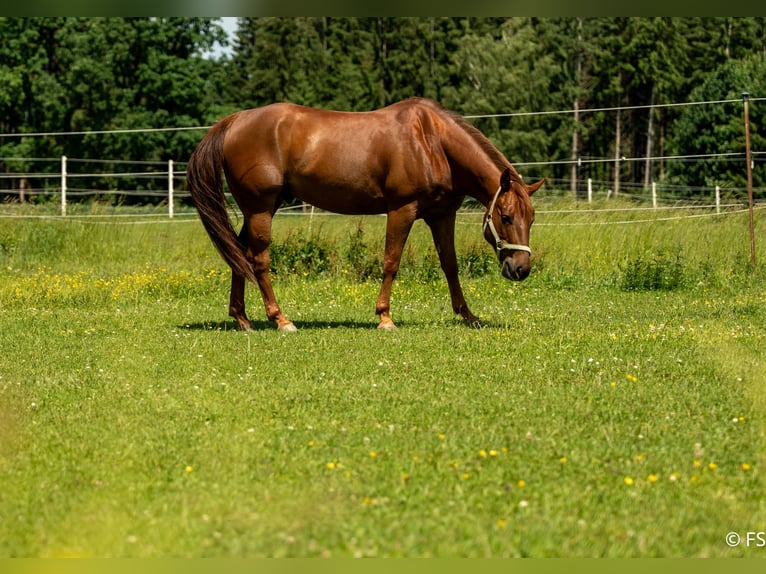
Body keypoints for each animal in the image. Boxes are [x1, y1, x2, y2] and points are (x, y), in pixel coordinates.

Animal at [186, 97, 543, 331]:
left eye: (531, 219)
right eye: (506, 217)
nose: (521, 269)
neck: (432, 141)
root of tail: (235, 121)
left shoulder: (442, 215)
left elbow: (450, 265)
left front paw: (468, 315)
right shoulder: (402, 210)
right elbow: (391, 262)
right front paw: (385, 317)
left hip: (260, 208)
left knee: (239, 254)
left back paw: (242, 318)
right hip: (260, 208)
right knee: (258, 260)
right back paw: (280, 319)